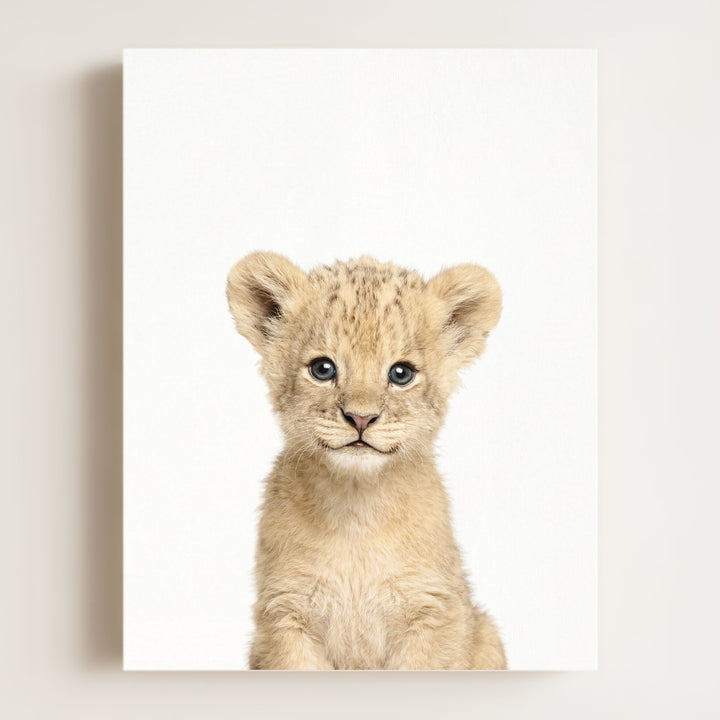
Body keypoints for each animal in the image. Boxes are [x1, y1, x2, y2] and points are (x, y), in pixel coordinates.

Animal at [226, 252, 506, 669]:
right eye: (323, 369)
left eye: (401, 373)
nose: (360, 418)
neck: (356, 510)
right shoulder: (285, 615)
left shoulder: (435, 612)